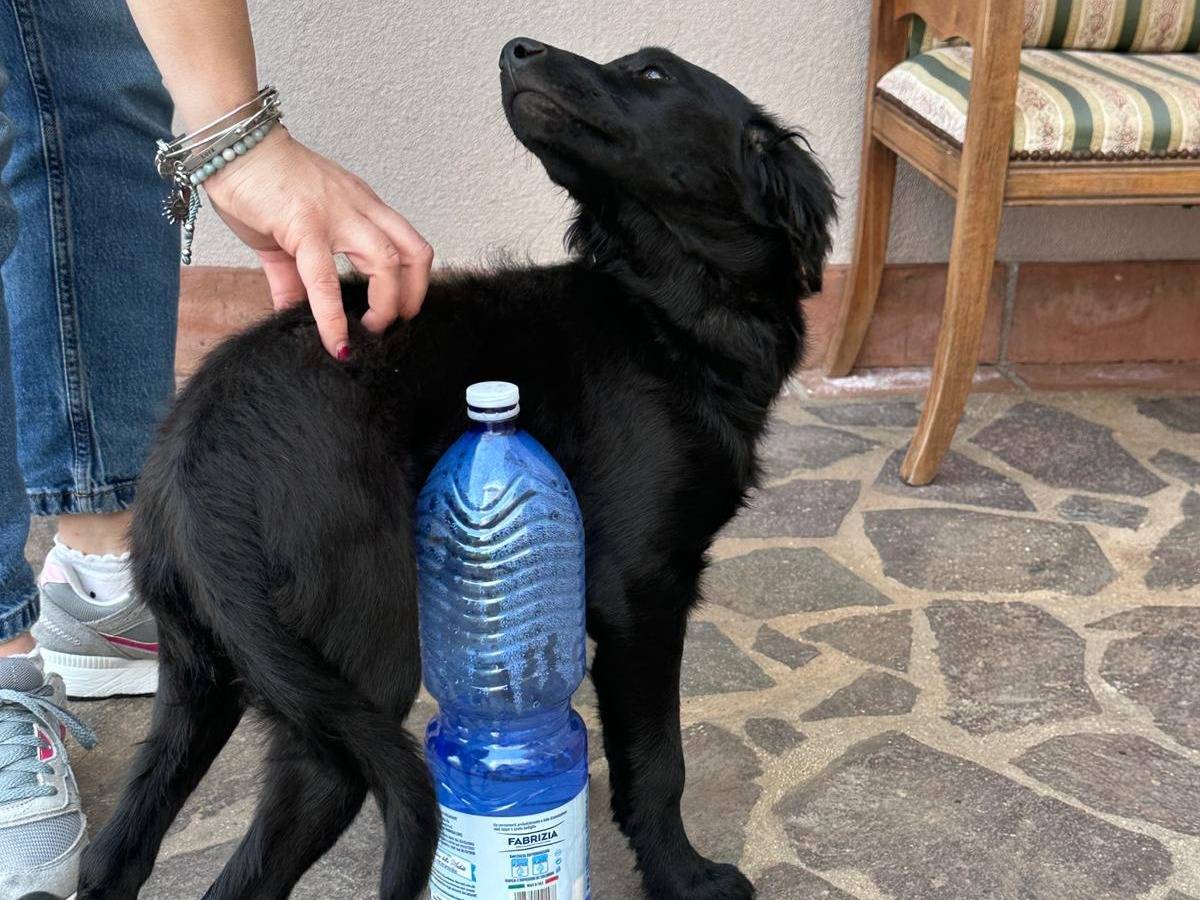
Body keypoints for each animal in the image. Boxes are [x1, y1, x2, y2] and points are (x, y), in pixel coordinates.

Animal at [77, 37, 834, 900]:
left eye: (651, 75)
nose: (516, 49)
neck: (668, 297)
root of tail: (198, 454)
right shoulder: (641, 590)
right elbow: (657, 763)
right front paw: (684, 876)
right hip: (357, 684)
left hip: (202, 671)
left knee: (114, 854)